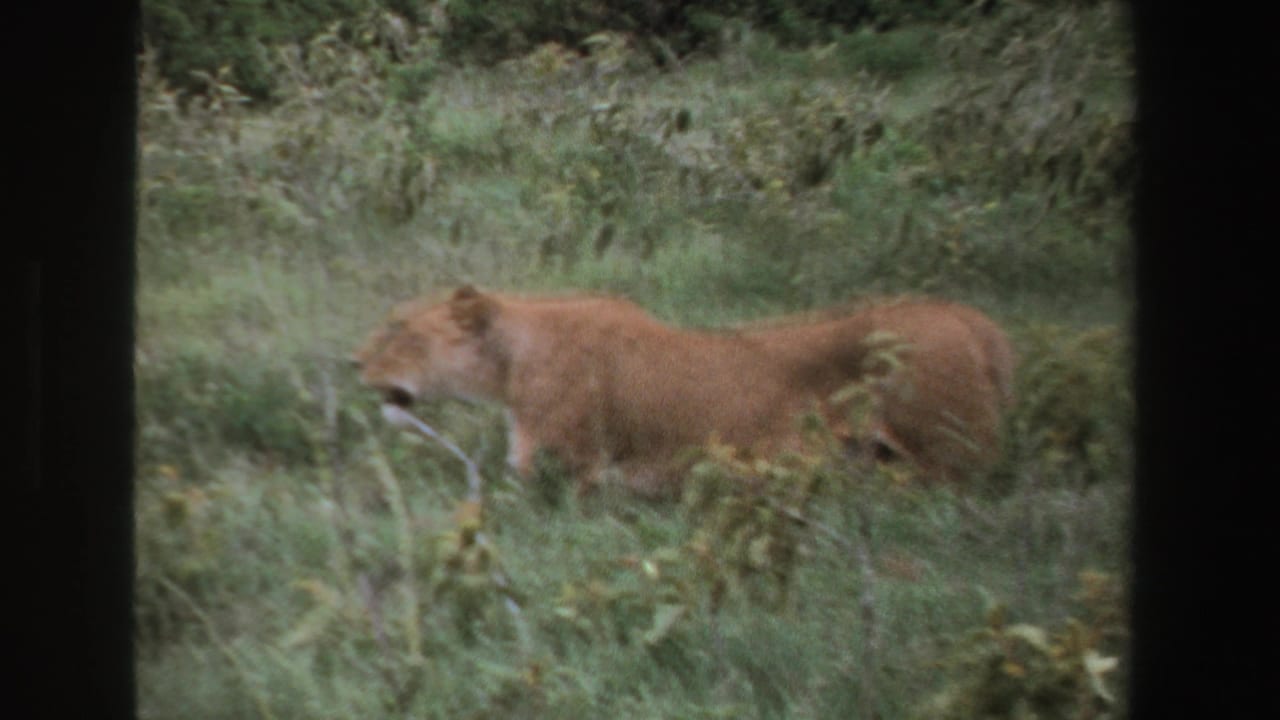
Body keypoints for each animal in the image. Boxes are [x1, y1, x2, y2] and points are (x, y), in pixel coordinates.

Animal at [353, 286, 1015, 498]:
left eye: (398, 328)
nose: (352, 362)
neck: (510, 368)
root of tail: (969, 318)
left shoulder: (563, 476)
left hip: (943, 458)